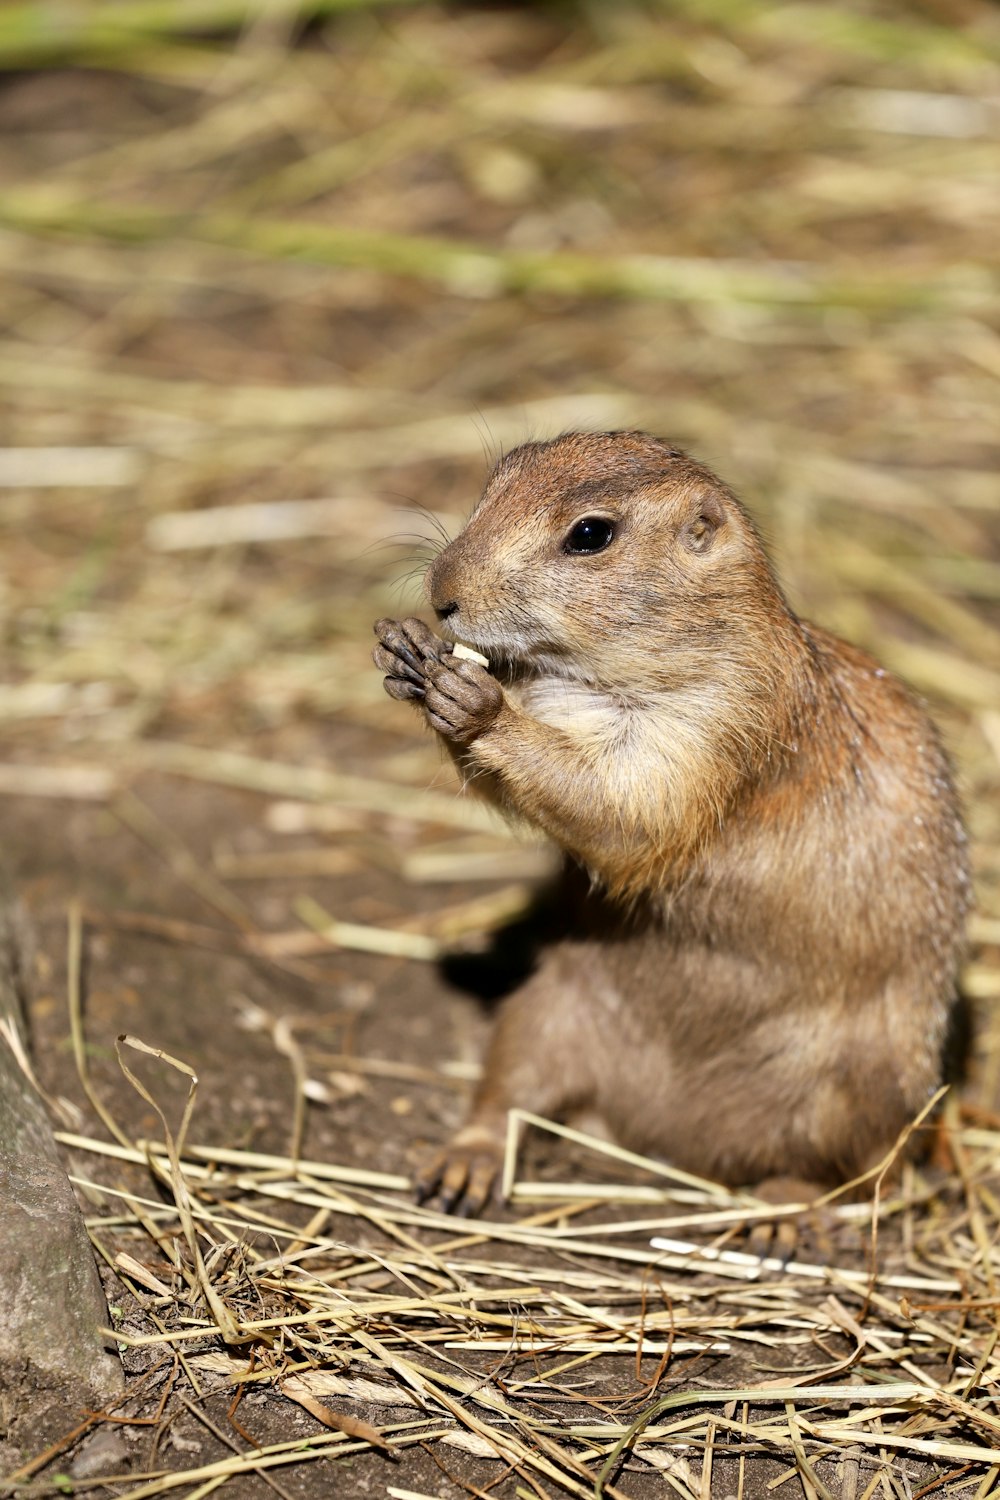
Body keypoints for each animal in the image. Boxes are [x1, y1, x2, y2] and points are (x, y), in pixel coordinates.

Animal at [373, 429, 971, 1212]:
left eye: (590, 535)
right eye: (497, 477)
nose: (441, 596)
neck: (578, 681)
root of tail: (670, 1141)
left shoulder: (720, 721)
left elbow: (632, 810)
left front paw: (475, 701)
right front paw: (404, 648)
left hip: (859, 1088)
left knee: (858, 1174)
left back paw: (782, 1210)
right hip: (545, 1010)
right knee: (507, 1096)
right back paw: (460, 1166)